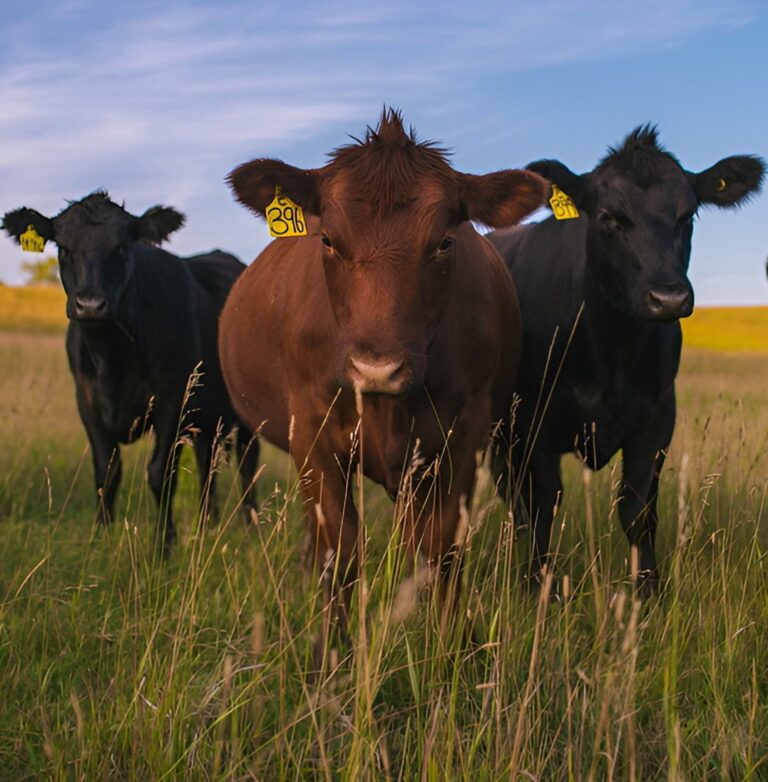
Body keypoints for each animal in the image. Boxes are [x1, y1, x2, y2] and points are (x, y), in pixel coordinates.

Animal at [2, 193, 259, 553]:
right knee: (209, 464)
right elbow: (106, 472)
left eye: (122, 247)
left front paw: (164, 545)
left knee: (247, 463)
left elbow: (160, 473)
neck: (113, 358)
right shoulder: (87, 401)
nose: (90, 305)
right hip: (209, 419)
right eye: (63, 247)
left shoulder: (172, 399)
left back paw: (252, 528)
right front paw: (100, 536)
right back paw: (208, 525)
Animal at [219, 109, 547, 656]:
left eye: (444, 242)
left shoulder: (466, 432)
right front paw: (329, 655)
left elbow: (441, 546)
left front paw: (453, 647)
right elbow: (339, 549)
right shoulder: (312, 432)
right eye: (328, 240)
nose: (377, 368)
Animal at [488, 125, 765, 593]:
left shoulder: (657, 416)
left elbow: (637, 509)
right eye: (609, 218)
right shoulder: (532, 417)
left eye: (687, 217)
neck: (610, 354)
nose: (668, 297)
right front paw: (540, 587)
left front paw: (647, 589)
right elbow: (543, 503)